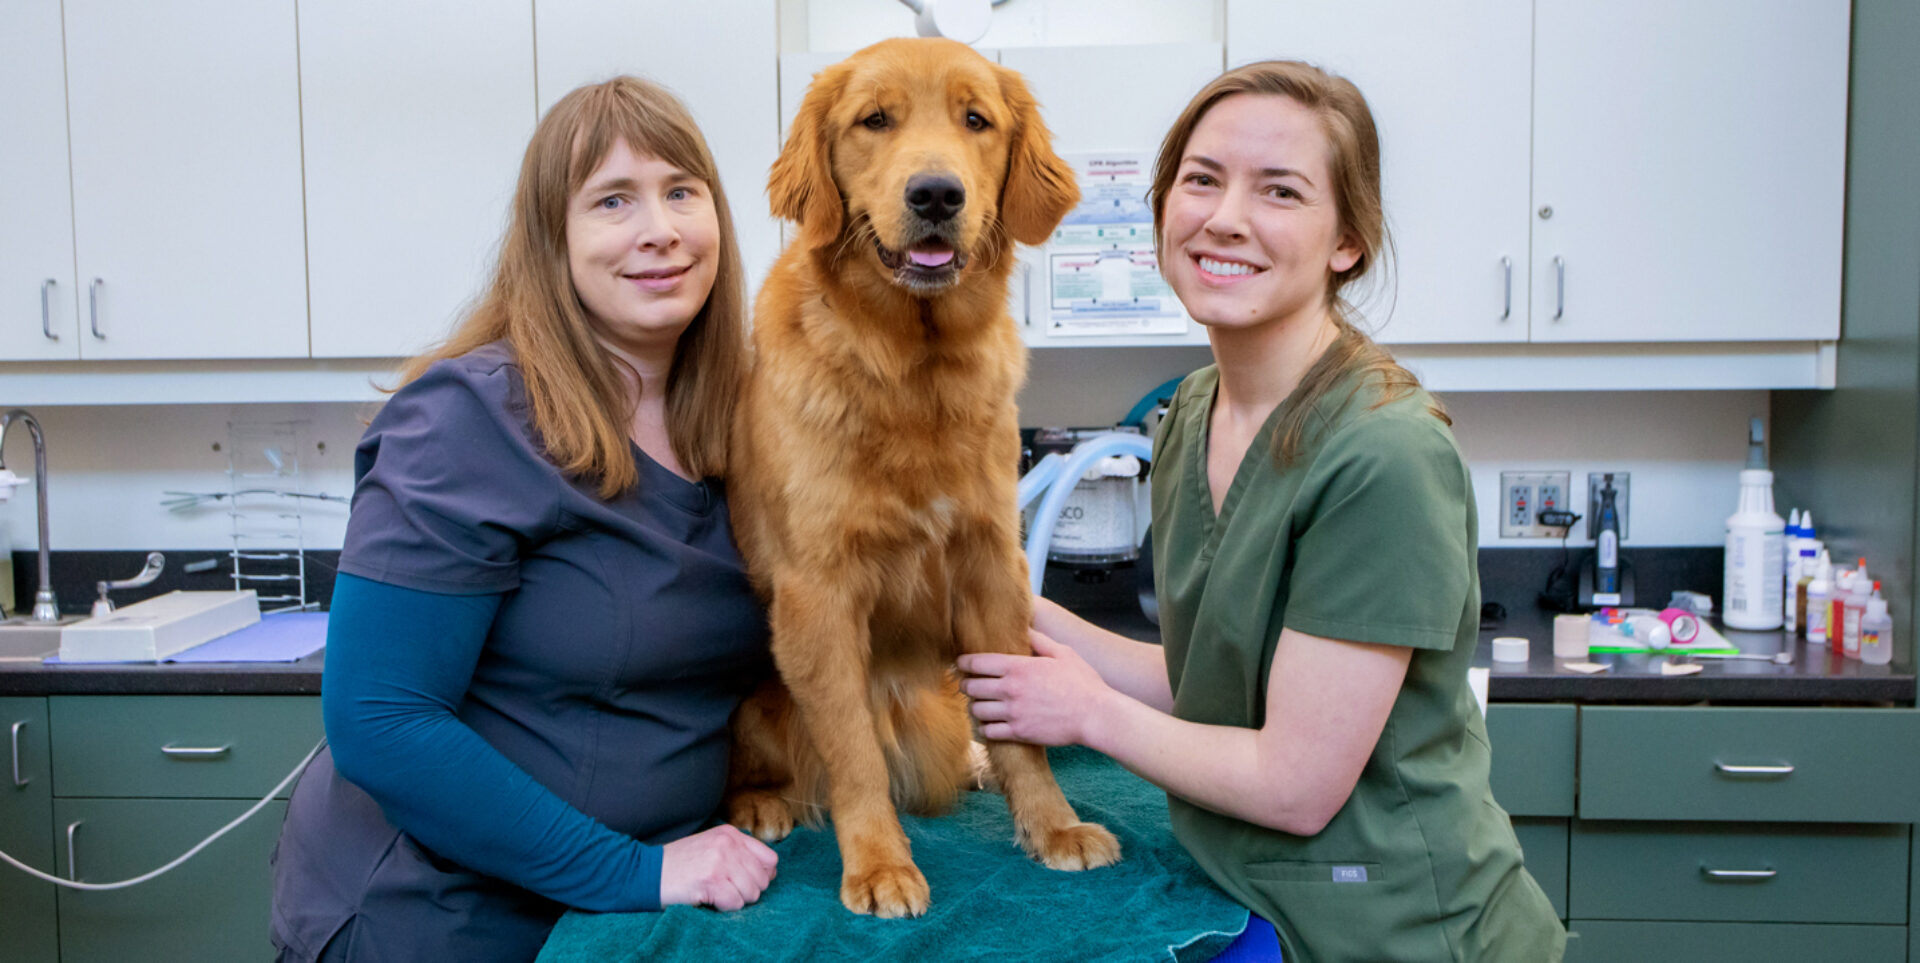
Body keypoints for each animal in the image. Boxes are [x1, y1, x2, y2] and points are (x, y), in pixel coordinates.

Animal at [721, 39, 1121, 916]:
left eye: (976, 119)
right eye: (875, 120)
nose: (936, 193)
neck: (913, 369)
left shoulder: (991, 567)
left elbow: (1021, 732)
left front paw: (1051, 825)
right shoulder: (818, 593)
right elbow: (853, 752)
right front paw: (878, 863)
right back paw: (763, 801)